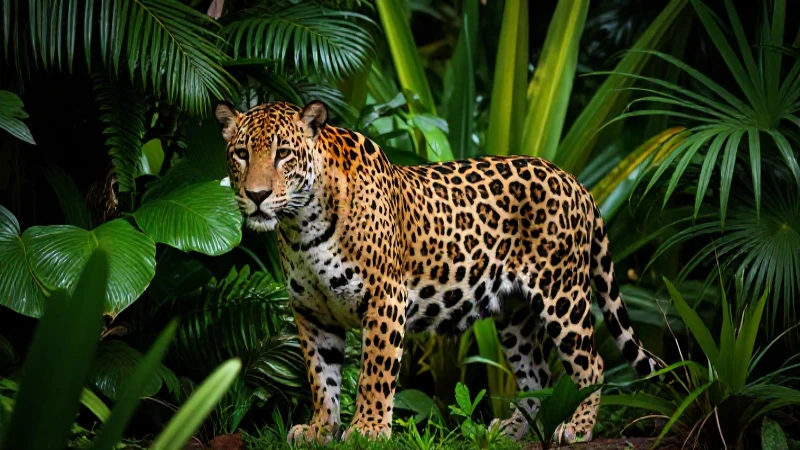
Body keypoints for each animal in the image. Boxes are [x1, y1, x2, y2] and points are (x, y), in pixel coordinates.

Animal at [214, 100, 656, 445]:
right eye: (241, 154)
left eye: (283, 154)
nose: (257, 196)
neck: (302, 225)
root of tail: (576, 182)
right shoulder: (312, 312)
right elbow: (321, 377)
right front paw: (321, 429)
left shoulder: (385, 297)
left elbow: (375, 371)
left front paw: (368, 430)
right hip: (515, 315)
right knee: (539, 374)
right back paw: (513, 431)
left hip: (562, 295)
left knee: (591, 364)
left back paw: (577, 428)